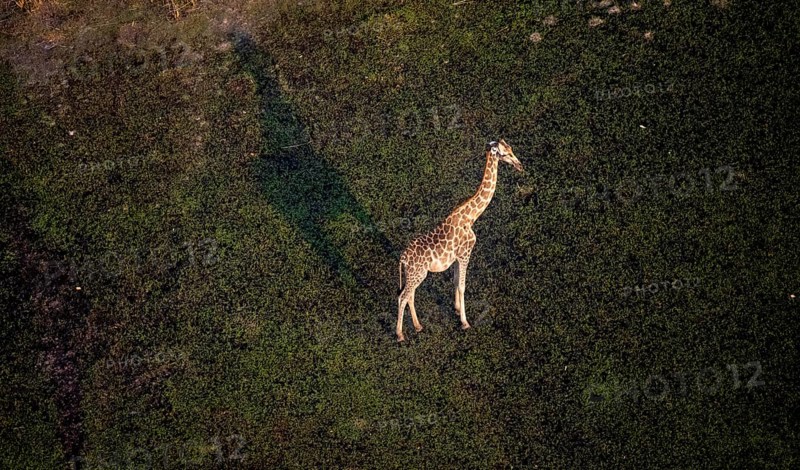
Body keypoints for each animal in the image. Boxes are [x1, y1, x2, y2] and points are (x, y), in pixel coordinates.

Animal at [396, 139, 523, 342]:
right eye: (505, 154)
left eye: (511, 149)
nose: (520, 165)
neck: (471, 217)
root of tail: (402, 258)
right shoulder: (465, 253)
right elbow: (462, 286)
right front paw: (465, 322)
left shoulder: (457, 257)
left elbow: (455, 282)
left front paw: (456, 310)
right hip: (417, 274)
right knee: (402, 297)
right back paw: (400, 334)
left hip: (415, 274)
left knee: (410, 295)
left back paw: (418, 326)